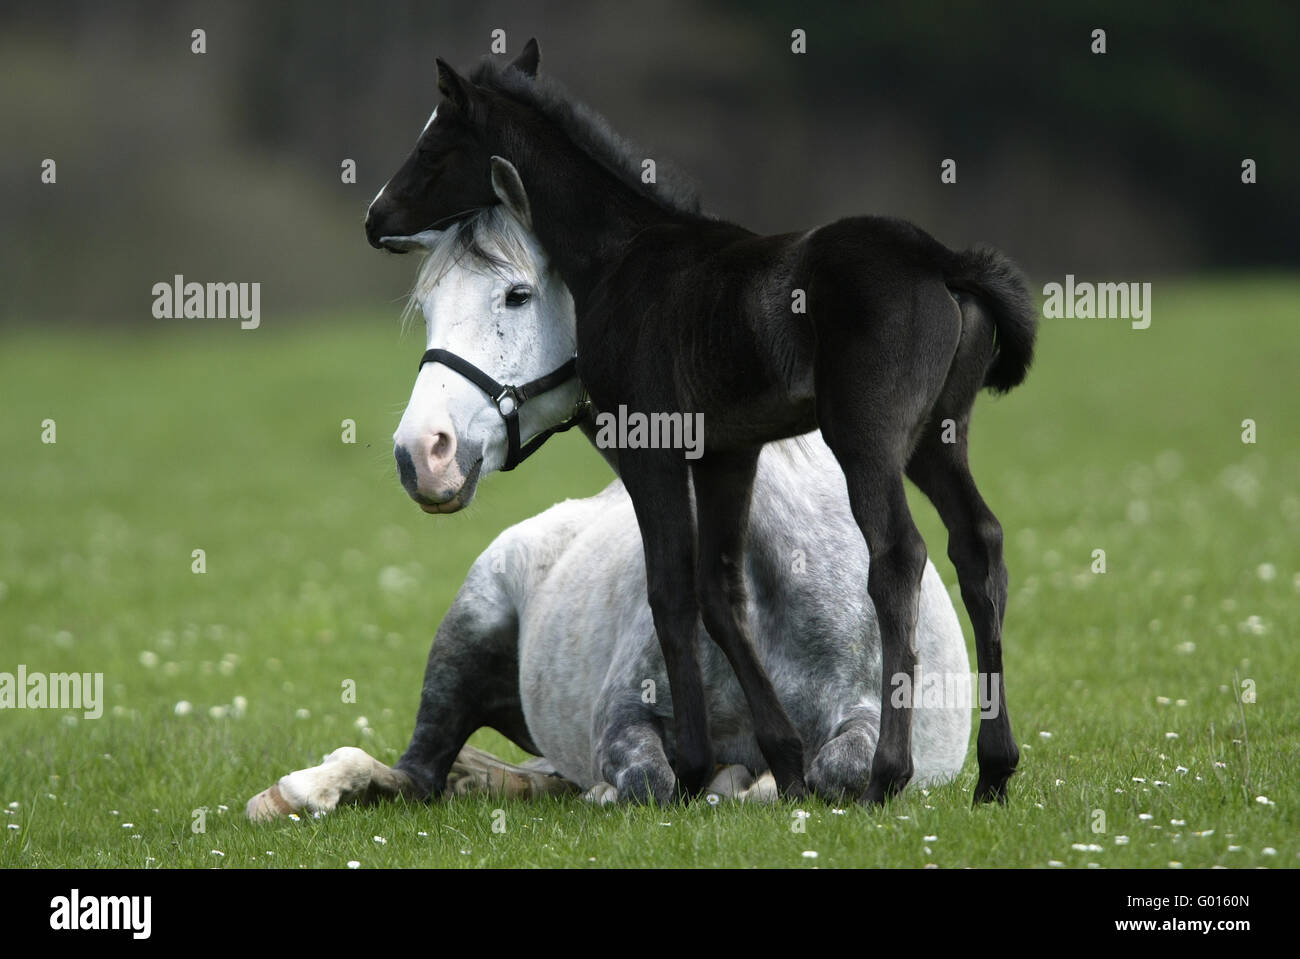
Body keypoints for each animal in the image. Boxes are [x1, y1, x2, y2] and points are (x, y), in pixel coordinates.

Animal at [247, 203, 972, 820]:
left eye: (517, 294)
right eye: (425, 308)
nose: (422, 452)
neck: (772, 573)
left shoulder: (866, 715)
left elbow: (834, 773)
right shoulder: (624, 719)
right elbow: (652, 777)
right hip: (468, 631)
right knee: (420, 772)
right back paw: (297, 791)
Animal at [363, 40, 1036, 805]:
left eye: (432, 146)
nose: (375, 218)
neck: (623, 255)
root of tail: (941, 261)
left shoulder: (649, 443)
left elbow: (672, 589)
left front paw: (690, 765)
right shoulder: (726, 455)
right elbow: (719, 589)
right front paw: (781, 757)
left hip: (867, 442)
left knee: (898, 555)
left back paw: (889, 773)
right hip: (935, 442)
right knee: (978, 545)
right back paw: (995, 768)